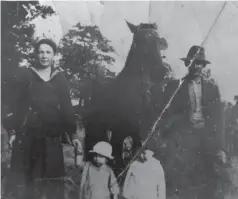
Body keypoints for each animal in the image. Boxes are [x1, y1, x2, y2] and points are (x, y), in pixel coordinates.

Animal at [84, 20, 170, 176]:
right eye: (138, 40)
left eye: (159, 41)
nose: (160, 72)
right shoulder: (120, 132)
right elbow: (118, 163)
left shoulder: (140, 136)